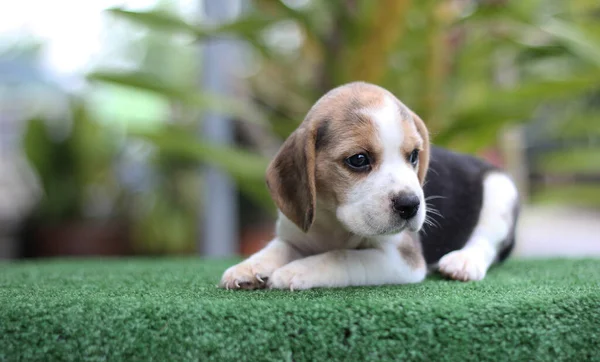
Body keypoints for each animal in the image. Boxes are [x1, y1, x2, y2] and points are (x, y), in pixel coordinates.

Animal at [220, 82, 520, 292]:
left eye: (414, 155)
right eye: (359, 160)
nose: (411, 205)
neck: (333, 220)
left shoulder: (401, 260)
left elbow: (343, 257)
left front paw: (297, 271)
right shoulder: (293, 237)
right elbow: (275, 249)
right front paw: (247, 268)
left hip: (500, 190)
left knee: (486, 242)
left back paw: (463, 262)